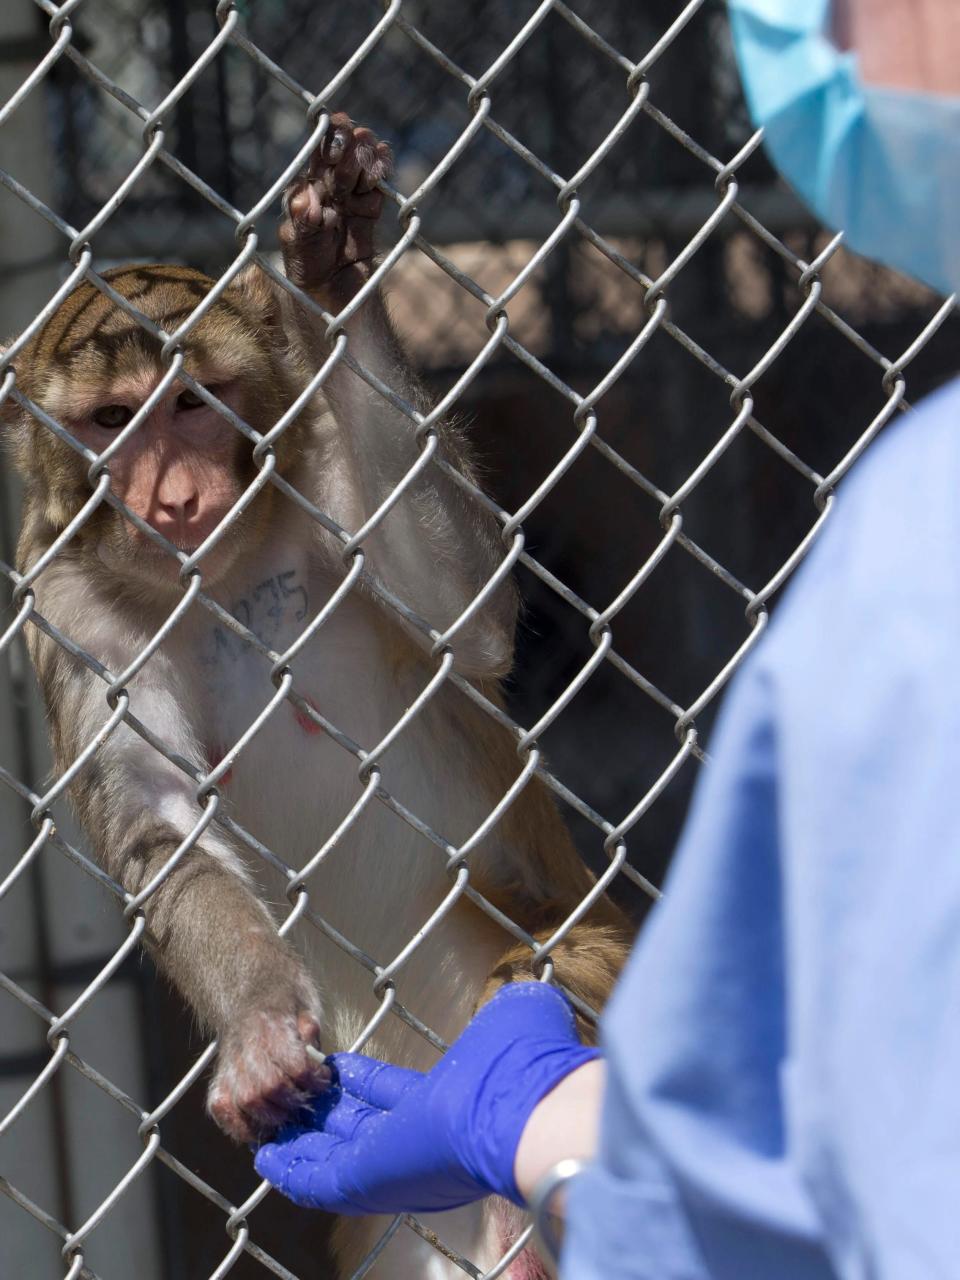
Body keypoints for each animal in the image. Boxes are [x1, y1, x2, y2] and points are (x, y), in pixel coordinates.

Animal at [5, 115, 632, 1274]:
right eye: (113, 419)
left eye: (192, 403)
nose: (173, 494)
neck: (220, 569)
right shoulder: (61, 594)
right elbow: (162, 823)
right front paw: (258, 1027)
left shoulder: (326, 465)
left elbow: (468, 621)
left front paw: (334, 276)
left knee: (538, 985)